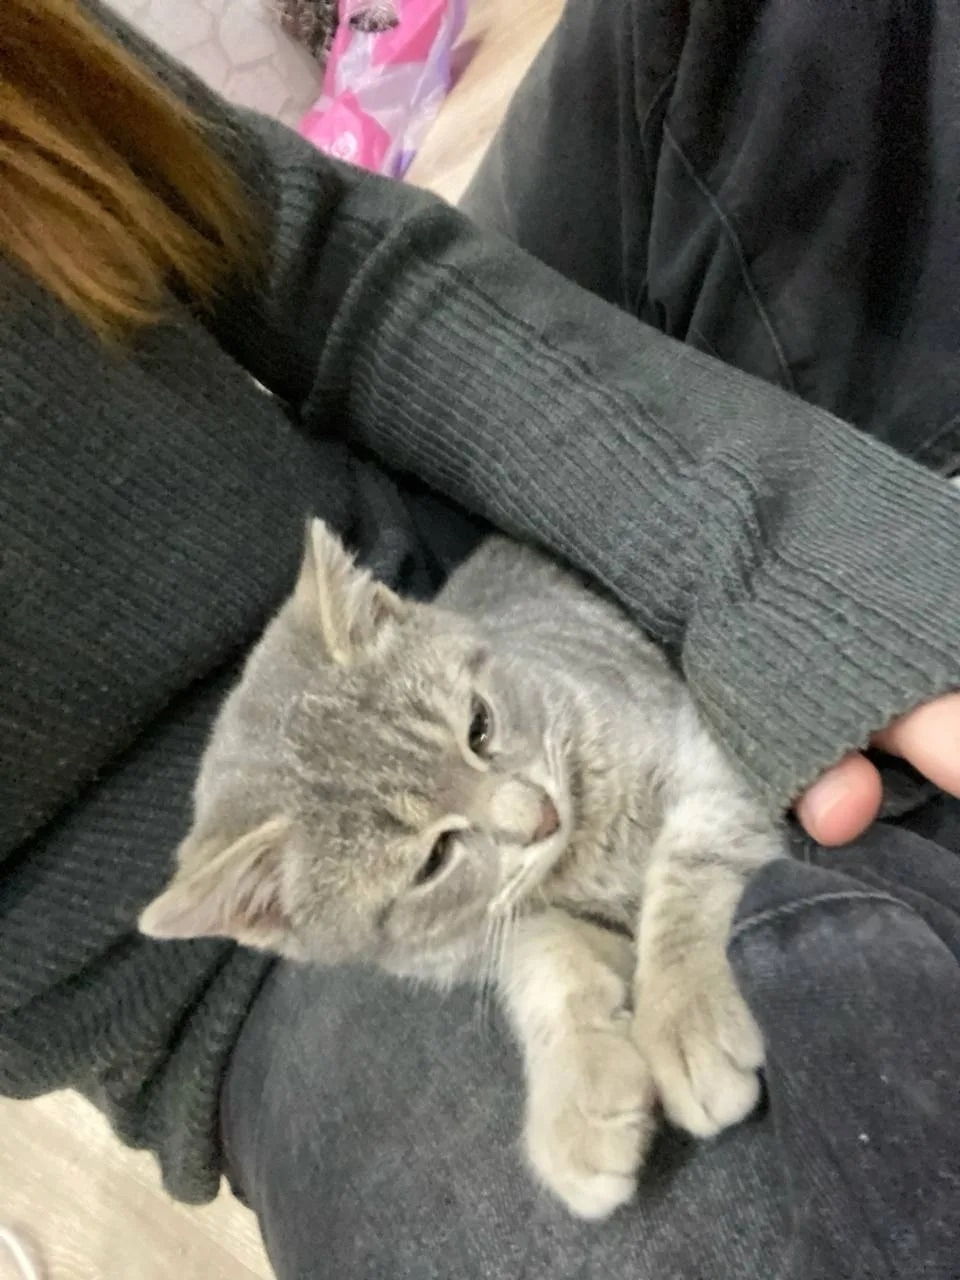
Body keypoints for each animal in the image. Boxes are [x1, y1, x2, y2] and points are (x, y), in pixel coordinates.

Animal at [141, 519, 786, 1219]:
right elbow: (544, 958)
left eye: (479, 727)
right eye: (434, 860)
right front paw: (580, 1091)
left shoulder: (707, 760)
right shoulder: (495, 935)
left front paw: (684, 1017)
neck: (581, 856)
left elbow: (694, 861)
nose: (540, 818)